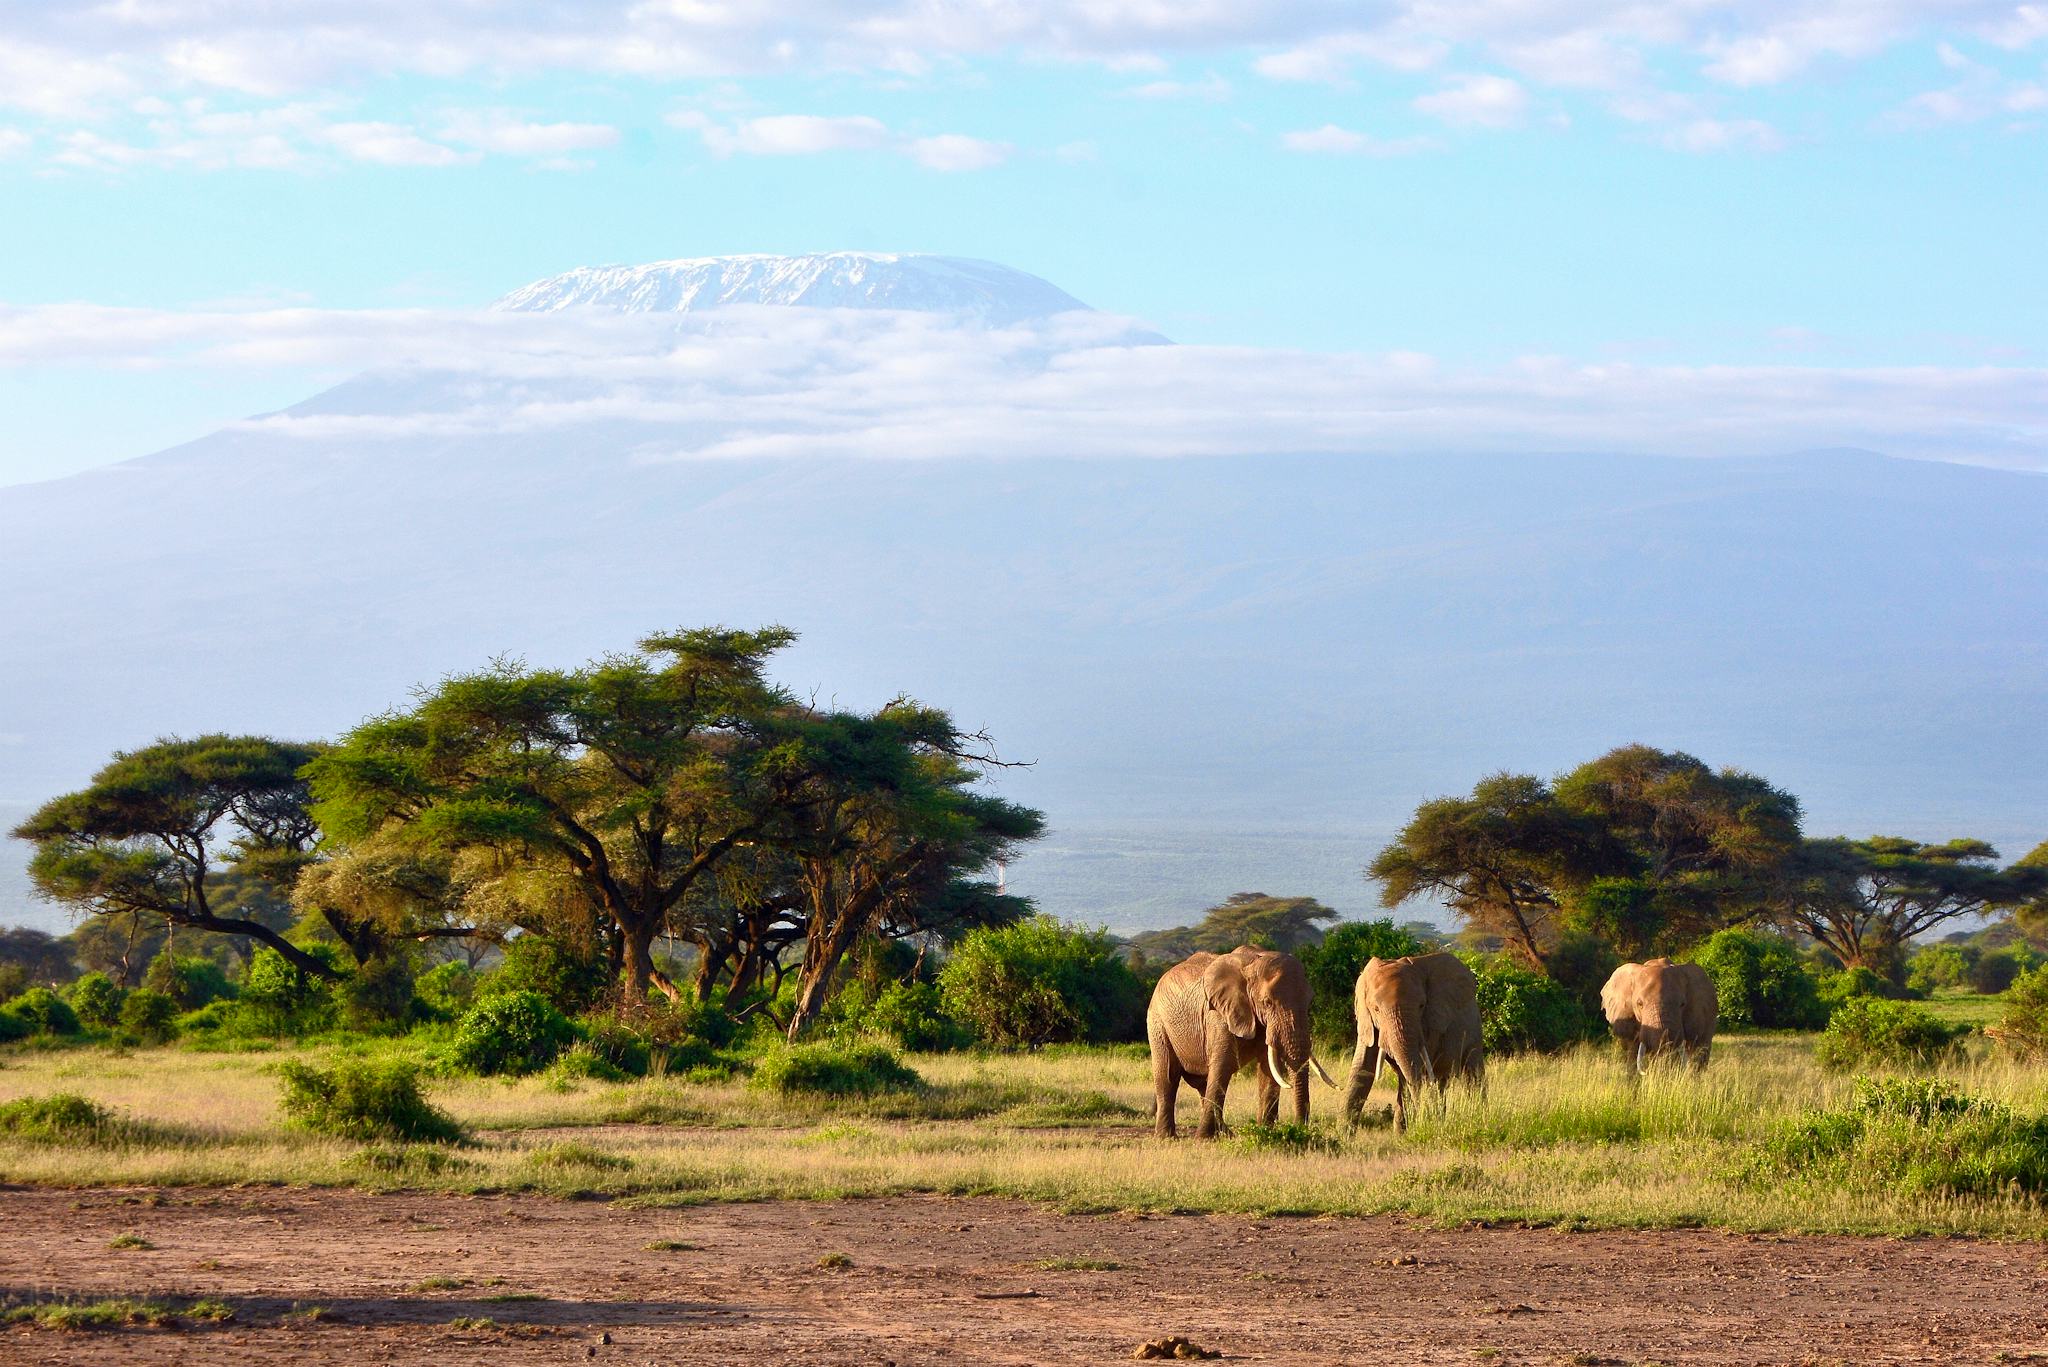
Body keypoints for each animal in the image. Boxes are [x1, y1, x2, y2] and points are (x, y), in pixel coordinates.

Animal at [1146, 946, 1335, 1139]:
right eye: (1267, 1003)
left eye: (1309, 1001)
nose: (1299, 1127)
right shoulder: (1220, 1015)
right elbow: (1223, 1065)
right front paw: (1202, 1139)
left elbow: (1268, 1069)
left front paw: (1265, 1132)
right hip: (1158, 1023)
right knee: (1168, 1076)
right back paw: (1167, 1137)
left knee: (1202, 1083)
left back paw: (1225, 1134)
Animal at [1335, 950, 1482, 1131]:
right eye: (1376, 1009)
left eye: (1421, 1006)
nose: (1426, 1121)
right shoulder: (1368, 1022)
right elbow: (1361, 1068)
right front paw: (1343, 1134)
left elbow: (1419, 1068)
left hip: (1474, 1026)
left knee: (1472, 1073)